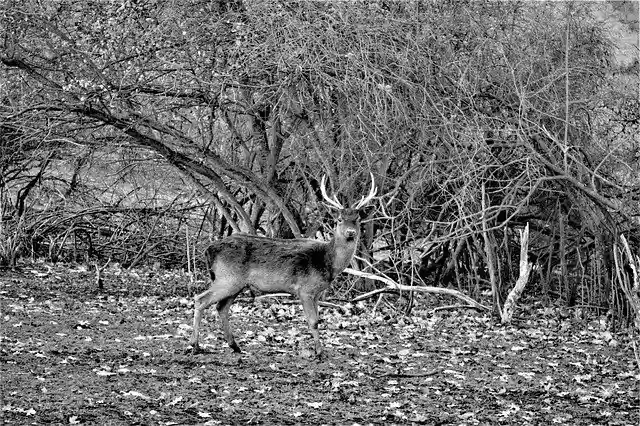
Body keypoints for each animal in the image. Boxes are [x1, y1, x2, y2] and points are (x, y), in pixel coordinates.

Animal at [189, 173, 377, 357]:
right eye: (339, 219)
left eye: (358, 219)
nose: (350, 233)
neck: (327, 262)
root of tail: (209, 250)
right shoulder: (305, 289)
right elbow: (313, 321)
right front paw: (319, 352)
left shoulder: (316, 293)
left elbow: (317, 319)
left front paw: (319, 350)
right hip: (228, 278)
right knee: (200, 299)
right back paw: (195, 345)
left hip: (236, 283)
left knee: (221, 307)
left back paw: (234, 345)